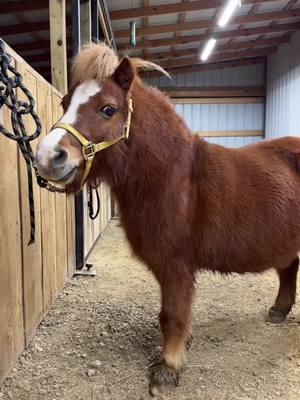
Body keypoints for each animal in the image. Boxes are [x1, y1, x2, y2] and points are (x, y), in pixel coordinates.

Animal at [35, 43, 300, 390]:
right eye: (65, 103)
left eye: (108, 109)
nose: (48, 156)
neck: (172, 176)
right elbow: (173, 312)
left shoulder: (176, 264)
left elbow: (172, 315)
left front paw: (168, 368)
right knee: (289, 268)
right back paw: (279, 310)